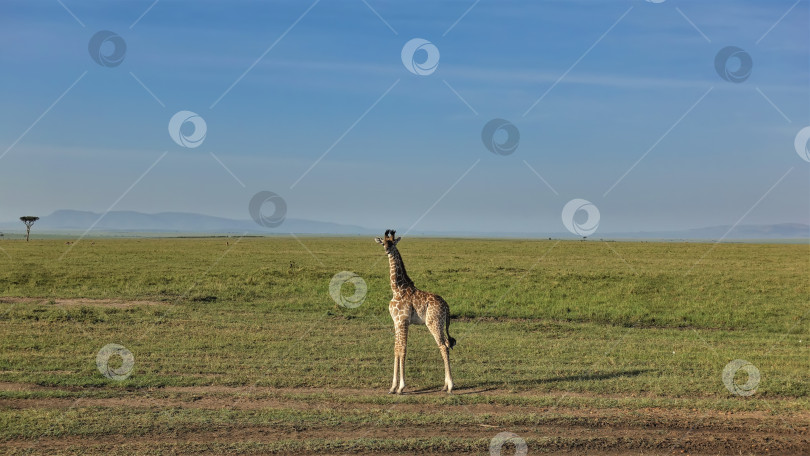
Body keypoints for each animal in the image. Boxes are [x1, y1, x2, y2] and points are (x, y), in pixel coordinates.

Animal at [374, 230, 454, 394]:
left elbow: (403, 349)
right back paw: (444, 385)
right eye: (383, 242)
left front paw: (401, 387)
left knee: (443, 346)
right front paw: (392, 387)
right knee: (445, 344)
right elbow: (396, 349)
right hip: (439, 323)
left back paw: (450, 386)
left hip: (433, 323)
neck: (397, 289)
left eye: (392, 243)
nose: (386, 250)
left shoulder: (404, 321)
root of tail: (446, 306)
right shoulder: (396, 322)